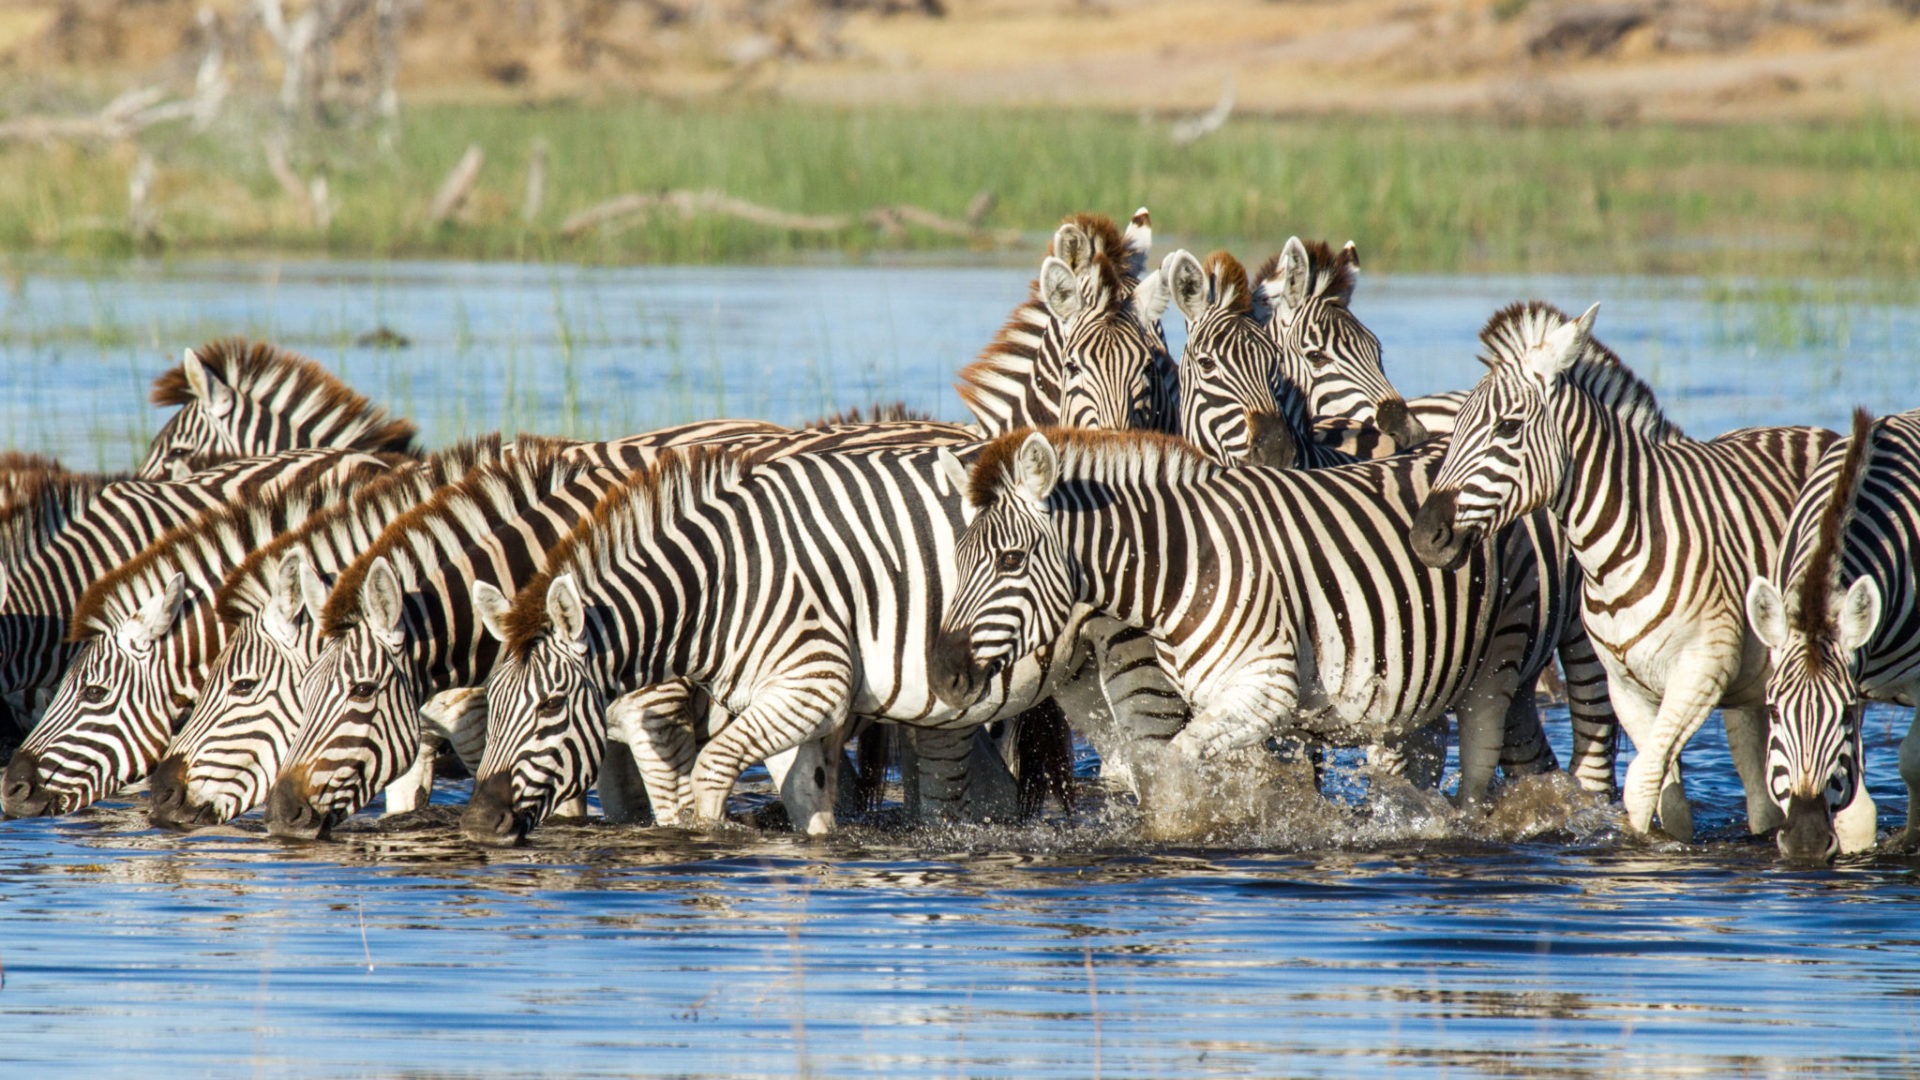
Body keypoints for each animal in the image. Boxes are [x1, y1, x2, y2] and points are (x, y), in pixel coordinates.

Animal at [463, 440, 1087, 846]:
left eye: (550, 706)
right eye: (490, 704)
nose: (479, 824)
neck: (722, 588)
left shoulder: (813, 684)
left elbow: (709, 770)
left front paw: (712, 840)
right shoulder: (788, 704)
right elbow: (812, 813)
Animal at [928, 428, 1551, 807]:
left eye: (1011, 560)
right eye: (956, 557)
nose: (942, 675)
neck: (1182, 567)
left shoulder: (1264, 687)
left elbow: (1177, 763)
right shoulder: (1219, 697)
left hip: (1496, 661)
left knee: (1477, 773)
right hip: (1422, 680)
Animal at [1409, 301, 1838, 840]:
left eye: (1507, 427)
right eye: (1455, 426)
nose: (1424, 536)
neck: (1620, 546)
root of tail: (1817, 431)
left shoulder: (1702, 669)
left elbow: (1640, 782)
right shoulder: (1626, 684)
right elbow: (1666, 799)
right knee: (1755, 774)